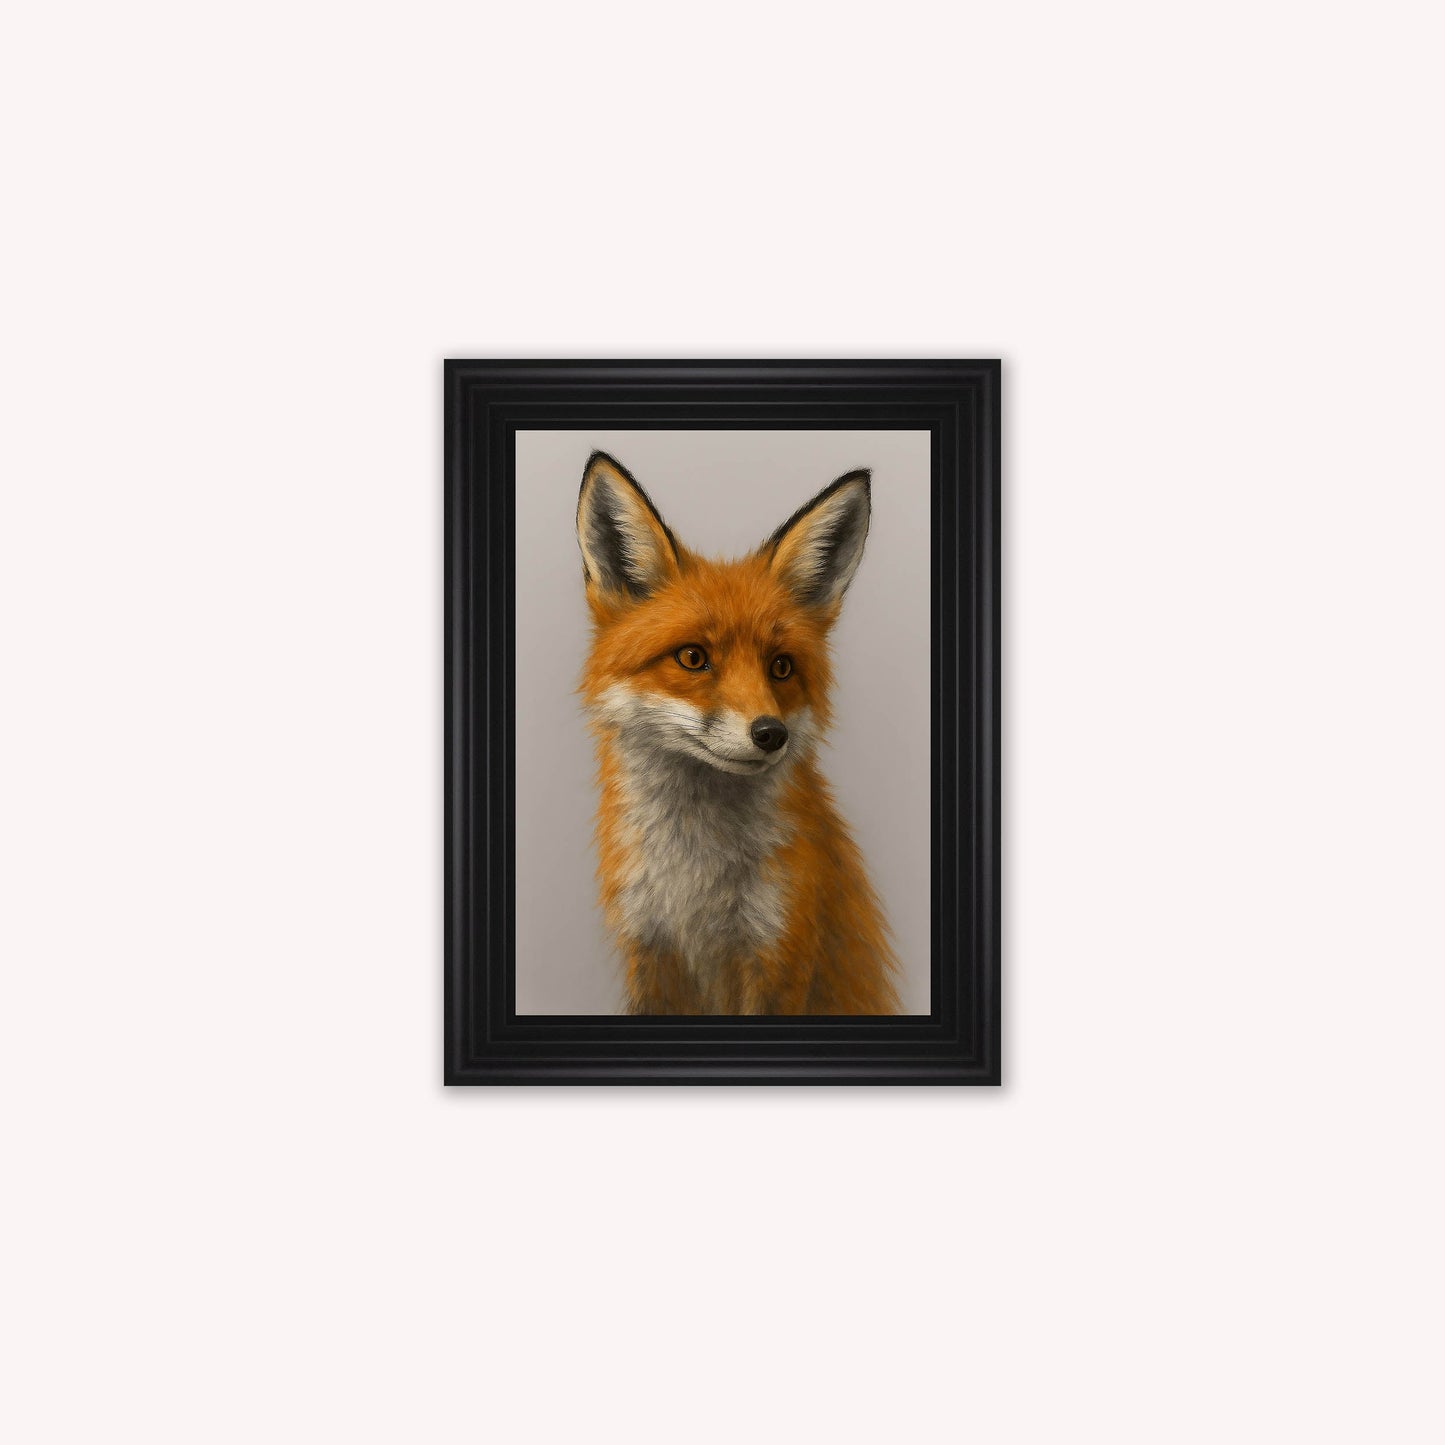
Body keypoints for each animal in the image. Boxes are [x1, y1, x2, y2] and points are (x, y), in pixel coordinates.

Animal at [576, 450, 900, 1016]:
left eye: (781, 667)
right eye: (692, 657)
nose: (771, 734)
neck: (694, 883)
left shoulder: (778, 953)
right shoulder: (650, 950)